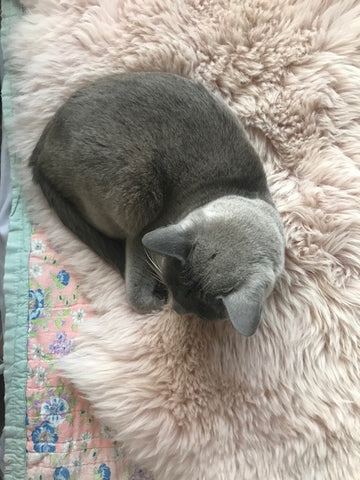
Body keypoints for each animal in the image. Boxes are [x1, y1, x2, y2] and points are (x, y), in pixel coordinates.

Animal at [29, 72, 286, 338]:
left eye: (199, 312)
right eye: (172, 286)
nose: (174, 308)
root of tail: (39, 150)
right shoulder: (145, 232)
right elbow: (137, 290)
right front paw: (154, 301)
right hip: (136, 189)